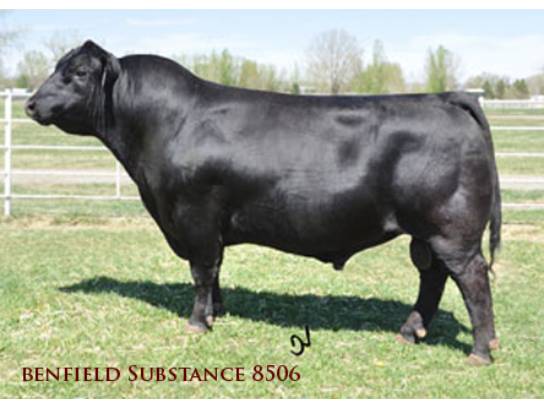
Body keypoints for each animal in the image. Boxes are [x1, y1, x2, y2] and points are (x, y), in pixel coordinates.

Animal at [25, 40, 502, 365]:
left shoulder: (194, 216)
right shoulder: (208, 224)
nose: (31, 103)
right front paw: (217, 311)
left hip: (452, 231)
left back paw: (481, 349)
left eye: (79, 72)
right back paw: (410, 330)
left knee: (472, 279)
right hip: (427, 233)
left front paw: (197, 322)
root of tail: (444, 97)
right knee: (433, 277)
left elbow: (201, 270)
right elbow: (215, 269)